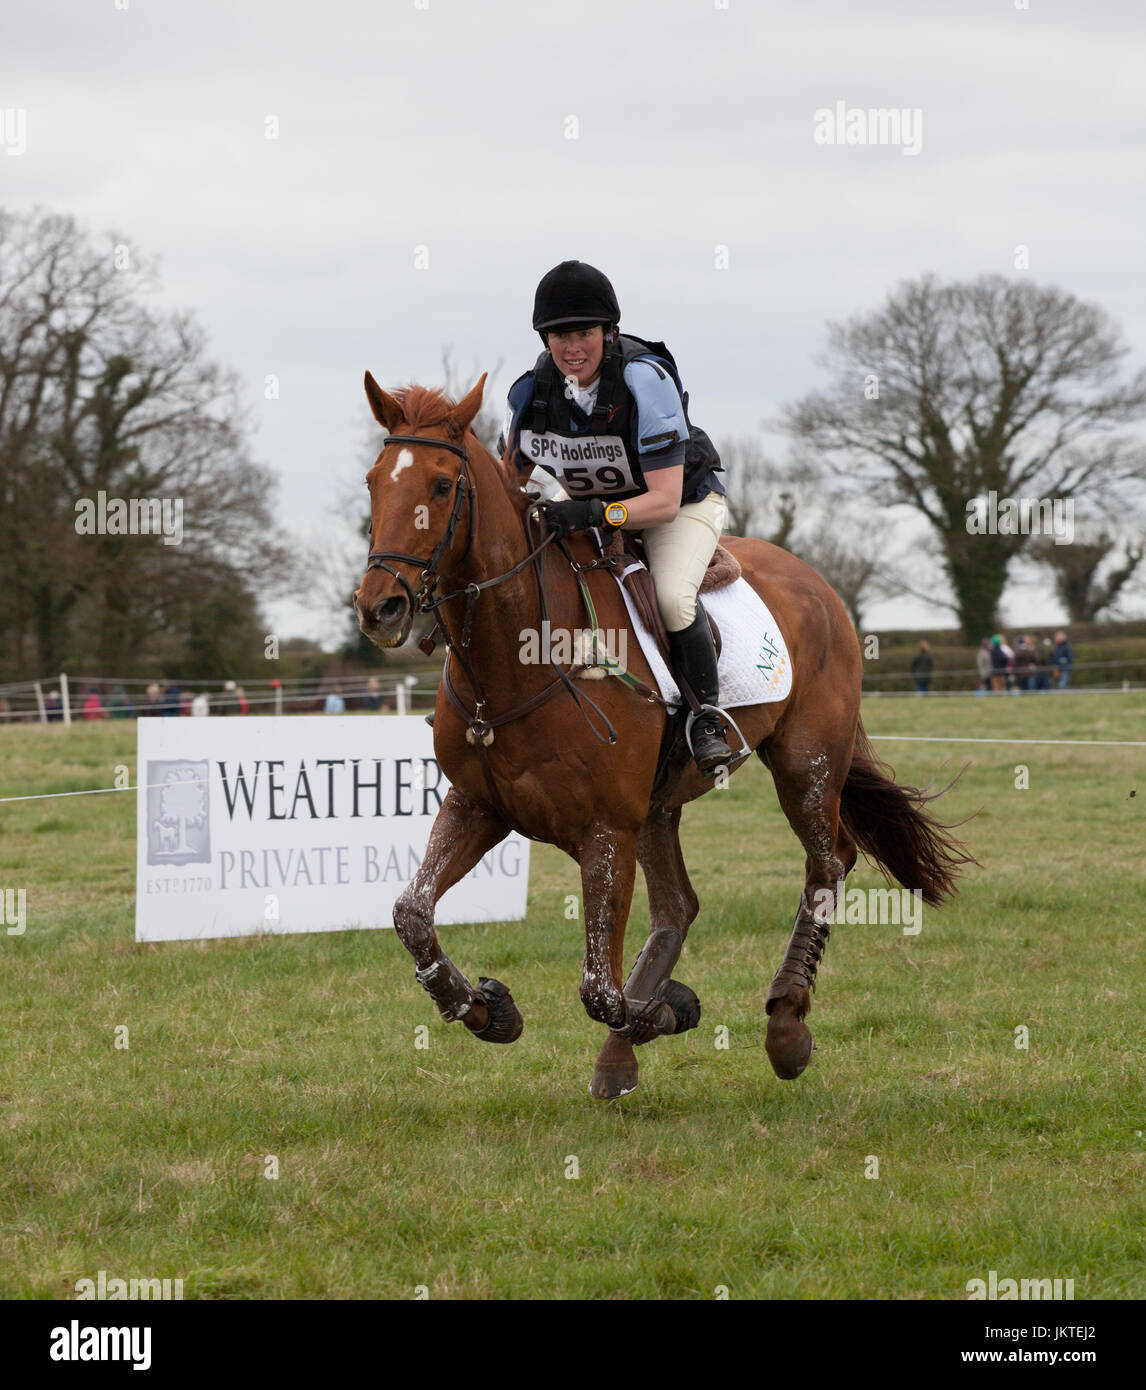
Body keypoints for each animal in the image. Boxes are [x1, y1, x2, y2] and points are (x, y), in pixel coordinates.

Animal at [353, 369, 973, 1095]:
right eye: (374, 482)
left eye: (442, 487)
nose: (380, 608)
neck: (516, 661)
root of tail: (815, 581)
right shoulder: (479, 805)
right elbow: (412, 914)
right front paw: (485, 1009)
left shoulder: (605, 830)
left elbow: (598, 988)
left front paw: (670, 1008)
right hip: (659, 803)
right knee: (679, 905)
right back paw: (618, 1058)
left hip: (805, 762)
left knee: (827, 863)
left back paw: (784, 1026)